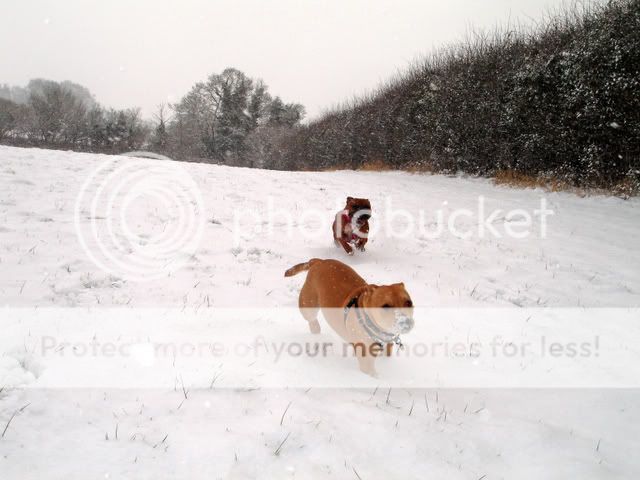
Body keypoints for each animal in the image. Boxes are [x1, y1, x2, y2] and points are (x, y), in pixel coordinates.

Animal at [284, 256, 416, 376]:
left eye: (409, 303)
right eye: (386, 306)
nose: (406, 322)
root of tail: (318, 261)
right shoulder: (365, 359)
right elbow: (372, 373)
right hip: (308, 304)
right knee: (311, 319)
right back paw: (316, 331)